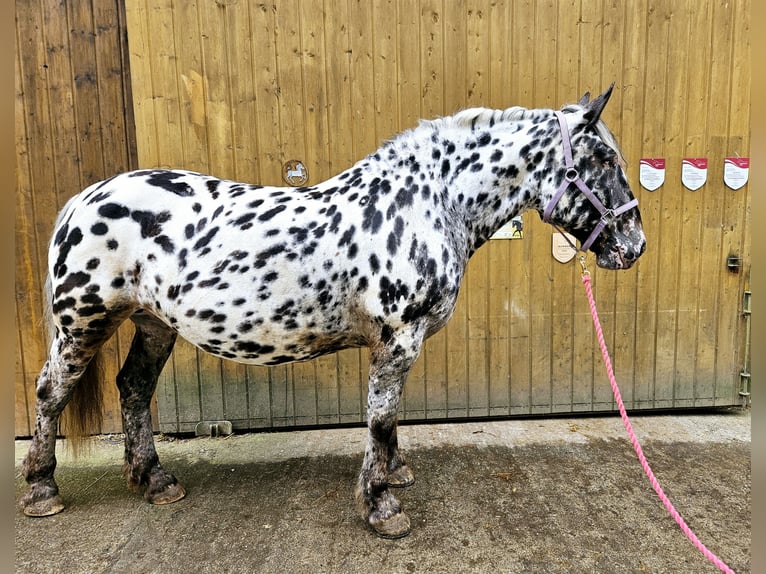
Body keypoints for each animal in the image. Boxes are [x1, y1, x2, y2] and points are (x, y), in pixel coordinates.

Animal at [19, 84, 648, 540]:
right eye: (602, 157)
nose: (634, 246)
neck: (428, 204)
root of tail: (83, 199)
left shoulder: (400, 343)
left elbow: (388, 418)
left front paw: (393, 474)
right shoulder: (399, 338)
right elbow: (380, 418)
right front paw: (382, 507)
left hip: (151, 324)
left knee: (133, 388)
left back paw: (154, 480)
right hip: (83, 323)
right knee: (51, 393)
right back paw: (42, 491)